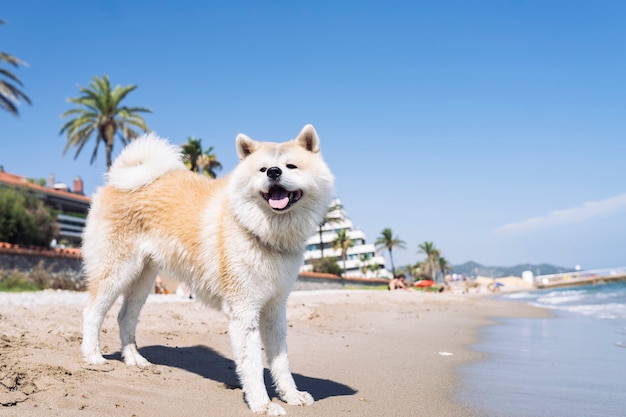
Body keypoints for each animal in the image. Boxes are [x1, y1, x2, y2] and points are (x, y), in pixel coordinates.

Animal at [80, 123, 334, 412]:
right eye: (262, 169)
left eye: (291, 166)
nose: (274, 172)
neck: (261, 232)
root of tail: (116, 180)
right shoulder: (244, 312)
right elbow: (252, 365)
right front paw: (262, 405)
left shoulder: (274, 309)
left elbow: (281, 362)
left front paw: (291, 395)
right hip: (116, 271)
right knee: (92, 313)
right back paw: (93, 356)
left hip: (142, 278)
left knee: (125, 317)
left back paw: (133, 358)